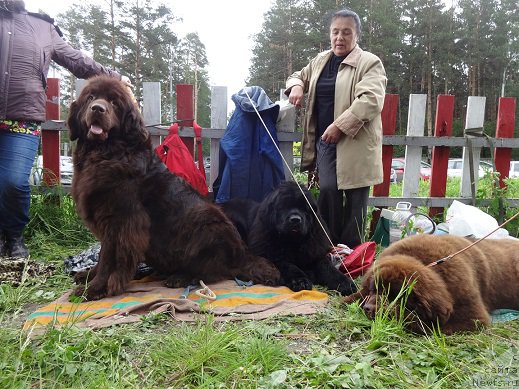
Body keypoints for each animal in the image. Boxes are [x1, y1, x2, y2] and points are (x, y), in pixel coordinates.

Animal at [69, 76, 282, 300]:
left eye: (114, 102)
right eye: (90, 97)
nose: (97, 108)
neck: (105, 154)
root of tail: (241, 254)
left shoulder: (120, 219)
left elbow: (109, 258)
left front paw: (94, 288)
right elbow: (103, 254)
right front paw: (88, 276)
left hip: (207, 220)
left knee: (215, 270)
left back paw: (180, 277)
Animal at [346, 233, 519, 334]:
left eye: (395, 296)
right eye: (373, 290)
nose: (368, 308)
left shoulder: (473, 316)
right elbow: (356, 295)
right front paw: (349, 300)